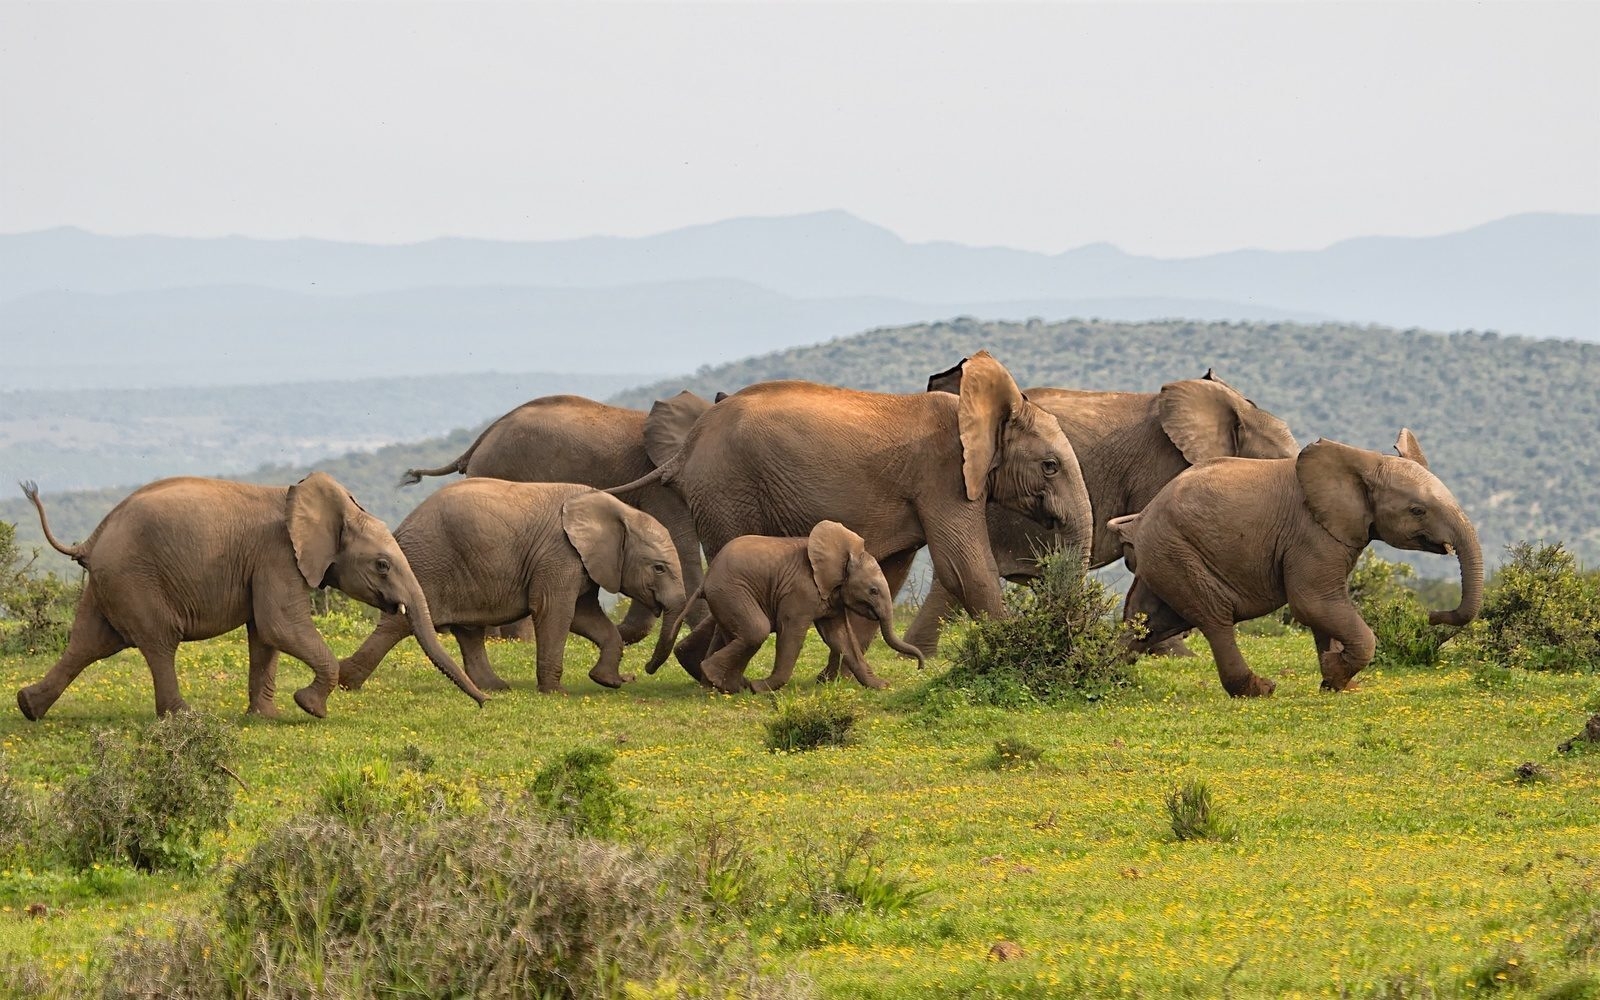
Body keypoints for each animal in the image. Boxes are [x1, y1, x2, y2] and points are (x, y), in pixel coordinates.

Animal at [15, 474, 486, 720]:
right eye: (383, 565)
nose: (486, 703)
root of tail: (92, 539)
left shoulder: (265, 564)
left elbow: (265, 635)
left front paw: (266, 718)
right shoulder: (277, 556)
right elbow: (280, 624)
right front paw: (311, 709)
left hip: (107, 583)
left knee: (87, 644)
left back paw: (28, 708)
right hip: (135, 579)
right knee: (158, 641)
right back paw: (184, 718)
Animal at [337, 481, 686, 695]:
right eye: (659, 568)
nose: (642, 672)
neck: (619, 510)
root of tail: (402, 526)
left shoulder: (580, 561)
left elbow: (582, 616)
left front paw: (607, 681)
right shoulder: (560, 554)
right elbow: (554, 610)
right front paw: (557, 693)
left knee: (469, 631)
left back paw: (495, 687)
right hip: (426, 563)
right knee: (398, 624)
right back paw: (345, 681)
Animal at [657, 521, 925, 694]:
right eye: (873, 591)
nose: (921, 667)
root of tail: (706, 579)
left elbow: (839, 637)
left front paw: (881, 686)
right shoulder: (799, 591)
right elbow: (792, 635)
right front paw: (761, 688)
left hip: (725, 597)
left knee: (734, 634)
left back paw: (722, 686)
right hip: (731, 591)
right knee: (756, 630)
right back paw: (732, 684)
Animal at [1107, 430, 1483, 697]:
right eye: (1417, 510)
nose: (1432, 615)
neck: (1363, 461)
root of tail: (1140, 519)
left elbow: (1325, 609)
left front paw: (1337, 682)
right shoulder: (1311, 533)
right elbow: (1314, 603)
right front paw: (1336, 672)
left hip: (1165, 555)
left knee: (1147, 623)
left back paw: (1114, 675)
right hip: (1176, 550)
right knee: (1214, 617)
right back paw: (1260, 689)